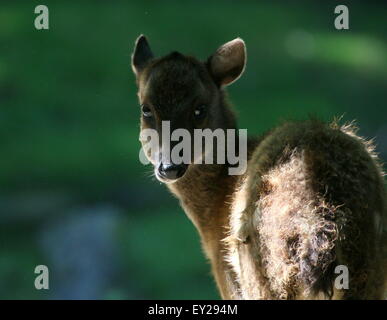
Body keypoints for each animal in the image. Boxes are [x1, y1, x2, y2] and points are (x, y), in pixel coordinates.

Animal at [131, 35, 387, 300]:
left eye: (199, 108)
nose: (169, 166)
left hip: (262, 267)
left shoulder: (228, 275)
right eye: (146, 109)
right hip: (370, 272)